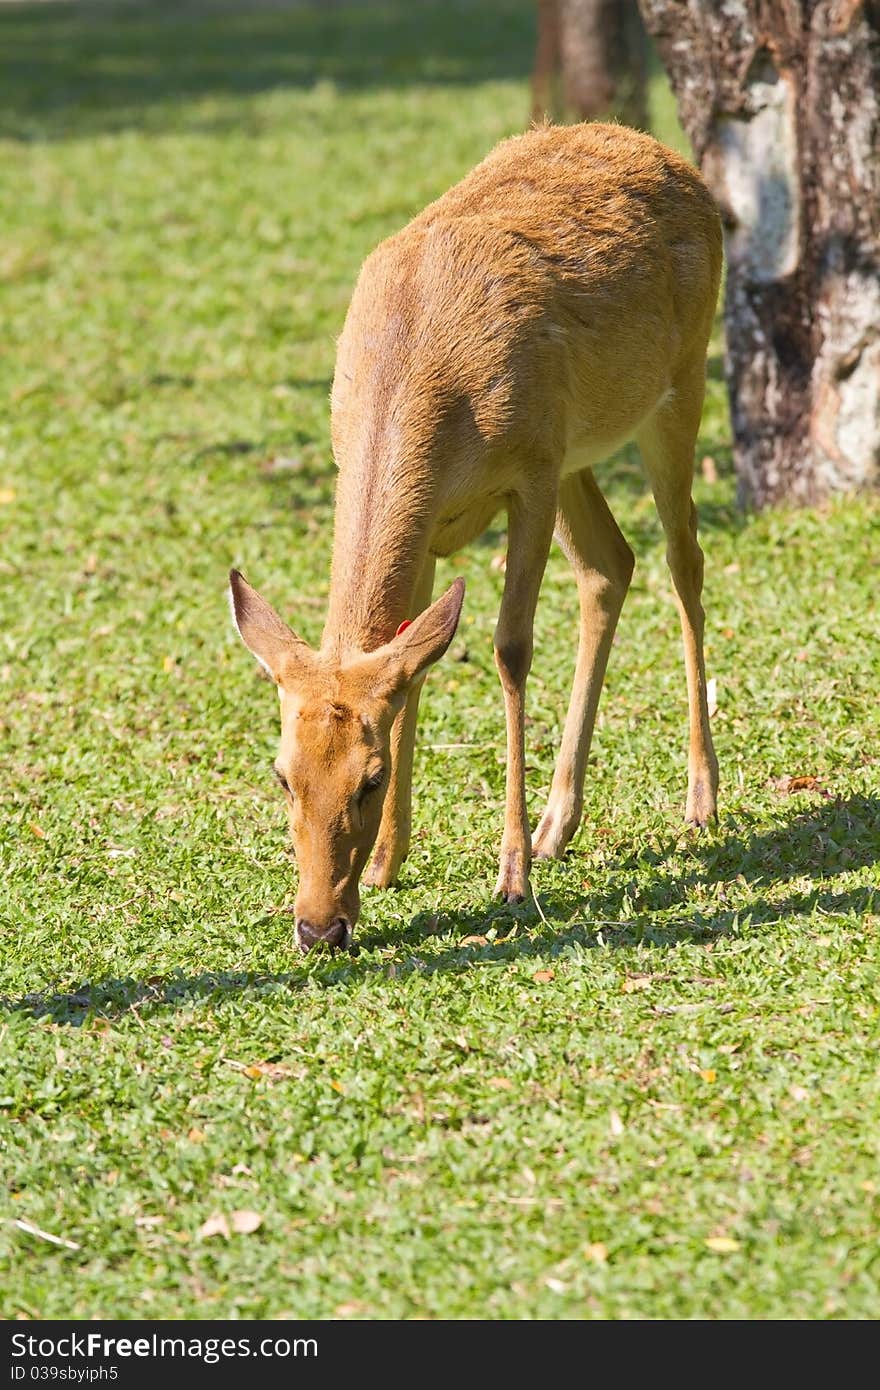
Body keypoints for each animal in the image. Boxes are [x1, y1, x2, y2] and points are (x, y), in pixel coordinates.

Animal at [227, 122, 722, 956]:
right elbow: (413, 666)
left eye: (368, 779)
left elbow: (509, 649)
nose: (318, 927)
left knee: (683, 561)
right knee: (610, 565)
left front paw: (511, 877)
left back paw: (699, 799)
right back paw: (560, 825)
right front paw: (390, 863)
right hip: (578, 451)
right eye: (281, 774)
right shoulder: (439, 522)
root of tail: (667, 156)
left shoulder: (529, 475)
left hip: (674, 388)